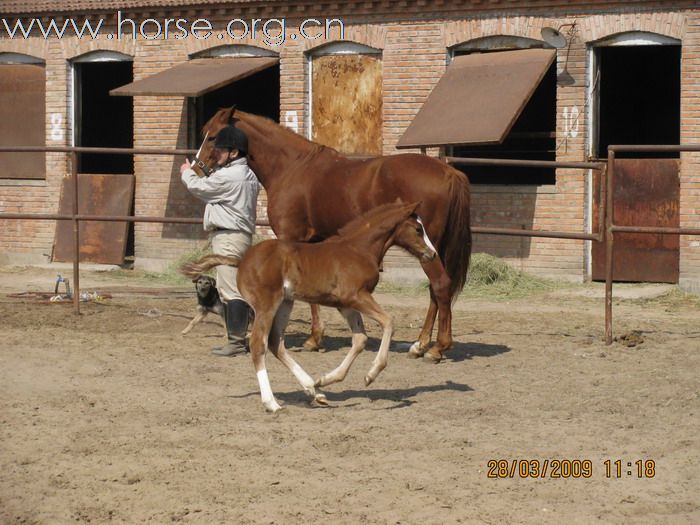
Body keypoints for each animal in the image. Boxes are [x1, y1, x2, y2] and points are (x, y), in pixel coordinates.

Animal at [186, 203, 438, 412]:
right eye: (418, 229)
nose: (432, 253)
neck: (358, 249)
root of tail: (242, 260)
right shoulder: (356, 296)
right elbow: (388, 322)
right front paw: (372, 373)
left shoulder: (345, 304)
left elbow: (360, 339)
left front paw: (327, 379)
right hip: (267, 305)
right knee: (259, 344)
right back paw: (272, 403)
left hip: (285, 303)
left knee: (276, 343)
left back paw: (314, 390)